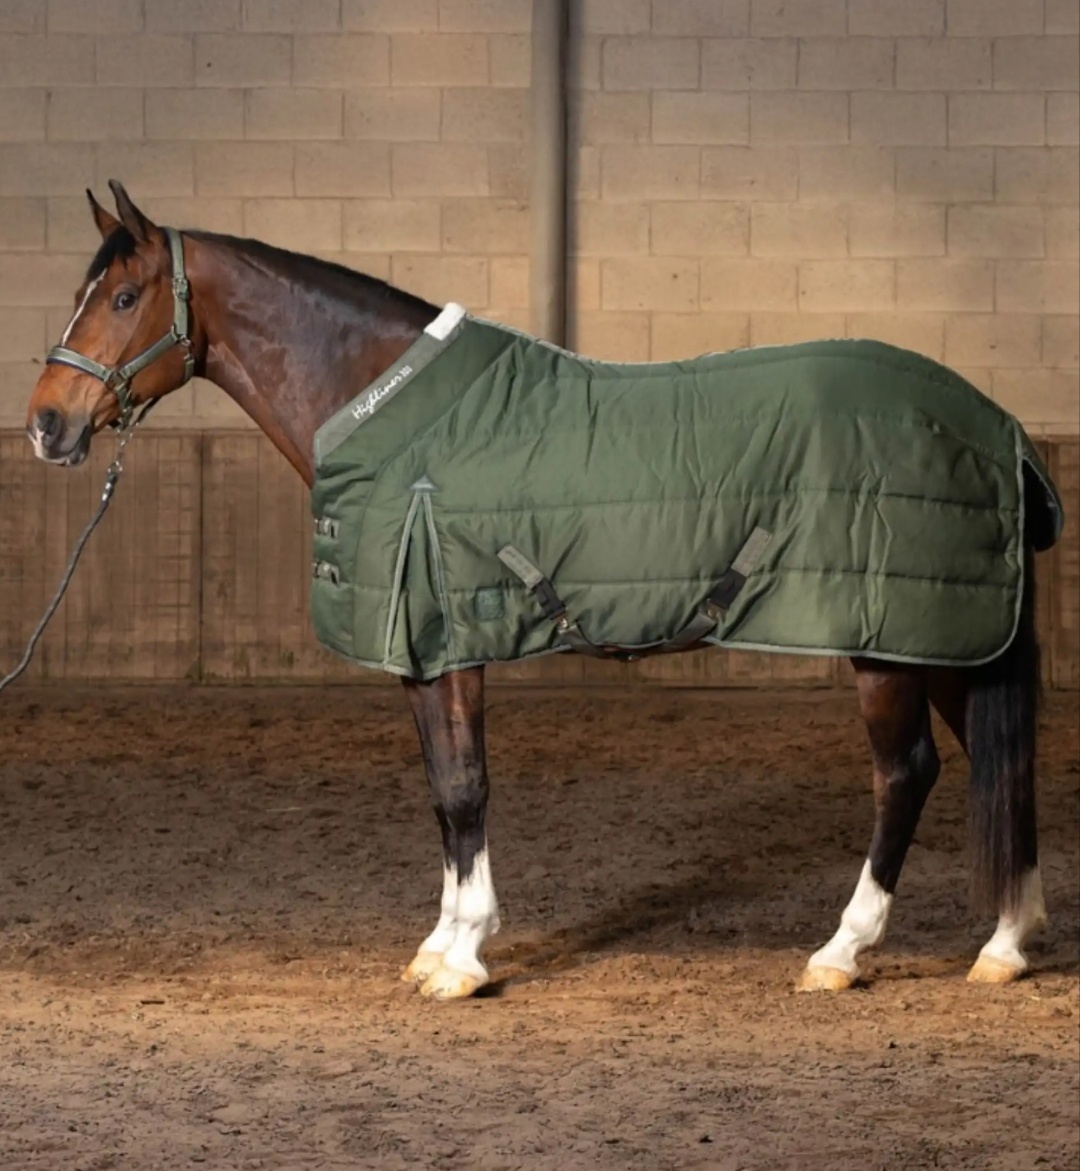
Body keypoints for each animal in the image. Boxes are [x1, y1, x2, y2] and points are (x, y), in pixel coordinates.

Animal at [24, 182, 1056, 1001]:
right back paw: (1007, 943)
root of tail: (992, 421)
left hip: (889, 640)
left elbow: (464, 788)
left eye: (123, 296)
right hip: (951, 633)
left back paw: (842, 951)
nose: (44, 424)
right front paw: (440, 941)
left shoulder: (450, 639)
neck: (391, 412)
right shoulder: (423, 652)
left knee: (906, 773)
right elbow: (443, 792)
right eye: (78, 296)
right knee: (997, 761)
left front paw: (463, 958)